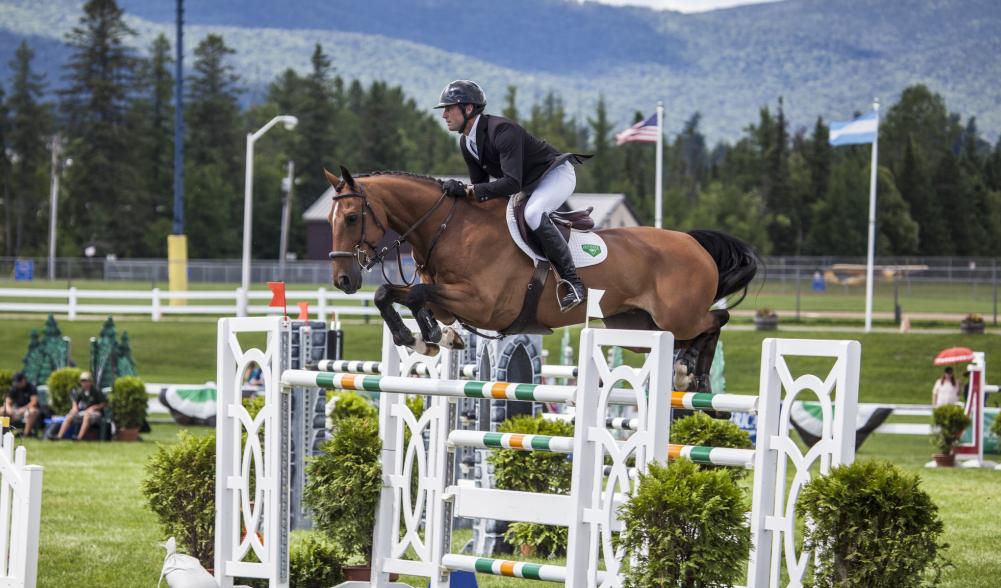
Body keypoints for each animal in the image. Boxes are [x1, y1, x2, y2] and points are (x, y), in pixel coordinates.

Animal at [324, 167, 752, 390]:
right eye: (330, 220)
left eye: (352, 217)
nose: (343, 279)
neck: (449, 227)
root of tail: (692, 243)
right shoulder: (449, 300)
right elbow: (389, 293)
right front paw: (427, 338)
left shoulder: (483, 304)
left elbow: (413, 296)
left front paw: (429, 338)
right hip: (638, 328)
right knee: (686, 336)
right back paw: (686, 371)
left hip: (677, 316)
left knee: (716, 319)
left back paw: (693, 373)